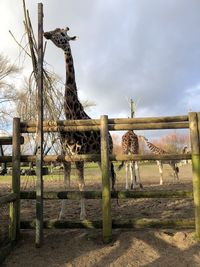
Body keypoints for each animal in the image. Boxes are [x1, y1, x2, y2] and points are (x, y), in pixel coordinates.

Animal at [43, 26, 115, 220]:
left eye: (61, 34)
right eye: (54, 29)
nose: (46, 33)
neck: (71, 115)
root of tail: (110, 135)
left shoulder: (79, 156)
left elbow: (81, 185)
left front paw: (83, 216)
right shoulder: (66, 158)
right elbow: (65, 186)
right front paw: (61, 215)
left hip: (106, 153)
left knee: (110, 175)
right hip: (97, 156)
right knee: (105, 176)